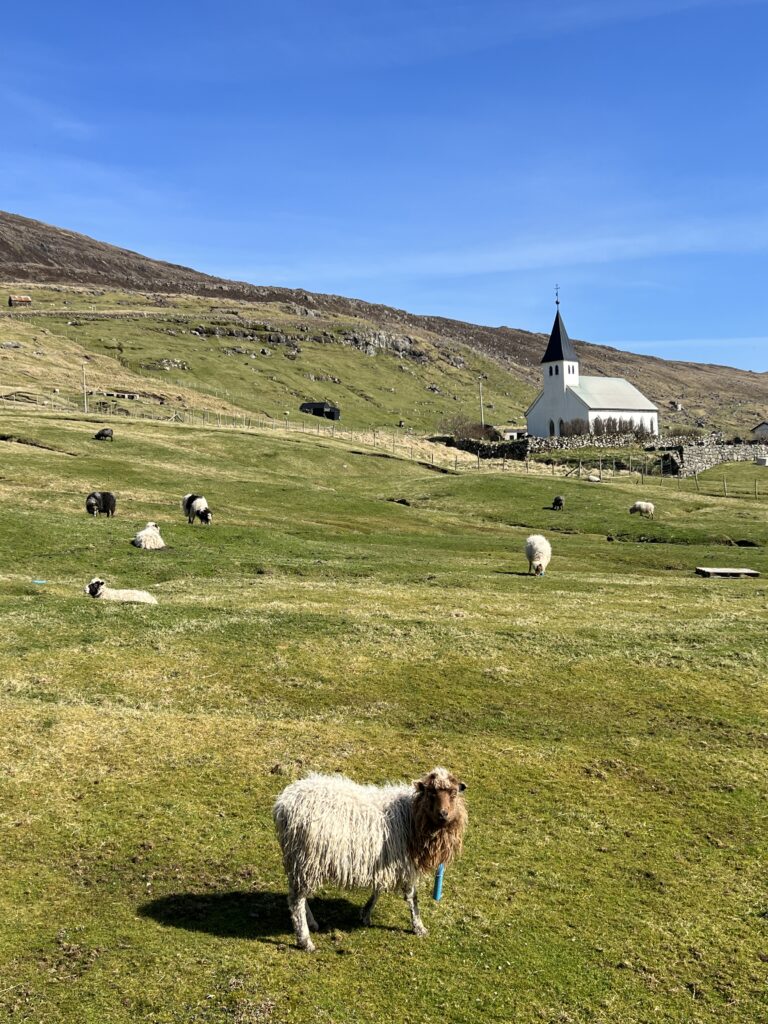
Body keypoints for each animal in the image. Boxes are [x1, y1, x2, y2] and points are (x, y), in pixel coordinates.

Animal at [276, 765, 468, 946]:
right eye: (431, 793)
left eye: (453, 793)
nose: (443, 814)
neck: (412, 815)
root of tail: (283, 804)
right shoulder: (405, 864)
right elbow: (412, 897)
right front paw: (419, 927)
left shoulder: (385, 863)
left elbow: (379, 888)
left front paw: (366, 913)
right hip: (307, 857)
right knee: (296, 900)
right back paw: (305, 940)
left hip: (298, 860)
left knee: (298, 894)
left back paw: (311, 923)